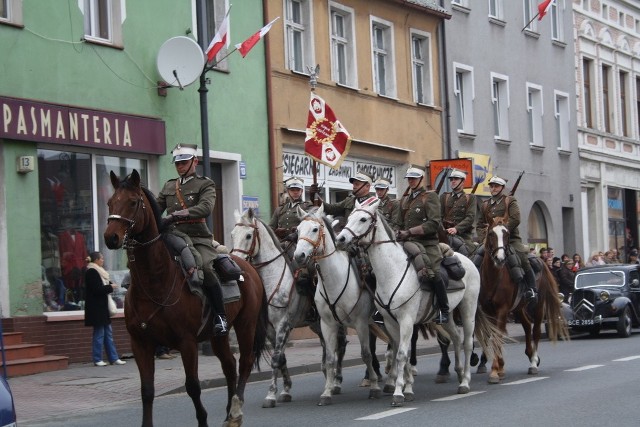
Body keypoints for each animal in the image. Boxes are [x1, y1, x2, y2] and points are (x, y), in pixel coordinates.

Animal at [103, 171, 268, 427]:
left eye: (132, 202)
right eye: (110, 202)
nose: (111, 237)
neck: (155, 280)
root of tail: (249, 268)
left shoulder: (187, 342)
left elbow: (193, 386)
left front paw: (203, 420)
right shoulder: (140, 343)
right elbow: (147, 390)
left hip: (246, 324)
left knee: (245, 362)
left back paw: (236, 411)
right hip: (218, 335)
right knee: (229, 366)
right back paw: (229, 412)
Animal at [232, 209, 348, 410]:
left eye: (248, 235)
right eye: (232, 234)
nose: (237, 262)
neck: (273, 278)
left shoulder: (283, 324)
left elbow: (276, 358)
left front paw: (271, 395)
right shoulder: (270, 329)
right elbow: (282, 359)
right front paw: (285, 390)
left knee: (340, 345)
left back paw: (336, 381)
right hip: (317, 324)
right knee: (326, 346)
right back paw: (328, 376)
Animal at [294, 206, 380, 406]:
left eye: (315, 229)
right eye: (298, 230)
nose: (299, 256)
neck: (335, 280)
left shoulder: (360, 323)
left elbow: (366, 354)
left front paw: (374, 387)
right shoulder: (327, 324)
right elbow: (330, 359)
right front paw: (327, 392)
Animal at [336, 199, 500, 406]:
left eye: (363, 219)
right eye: (350, 216)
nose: (340, 239)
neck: (392, 271)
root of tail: (467, 260)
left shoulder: (406, 320)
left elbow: (401, 354)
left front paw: (399, 392)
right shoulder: (391, 322)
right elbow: (401, 353)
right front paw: (407, 388)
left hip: (468, 309)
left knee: (468, 343)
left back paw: (465, 382)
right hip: (446, 316)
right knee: (456, 338)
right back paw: (458, 373)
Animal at [480, 219, 568, 382]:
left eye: (507, 234)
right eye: (491, 234)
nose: (500, 259)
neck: (493, 277)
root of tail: (541, 260)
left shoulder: (502, 310)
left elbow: (498, 336)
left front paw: (495, 370)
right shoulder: (487, 311)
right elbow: (493, 336)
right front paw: (499, 368)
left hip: (538, 306)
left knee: (536, 331)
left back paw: (533, 363)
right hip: (519, 308)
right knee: (527, 326)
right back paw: (530, 354)